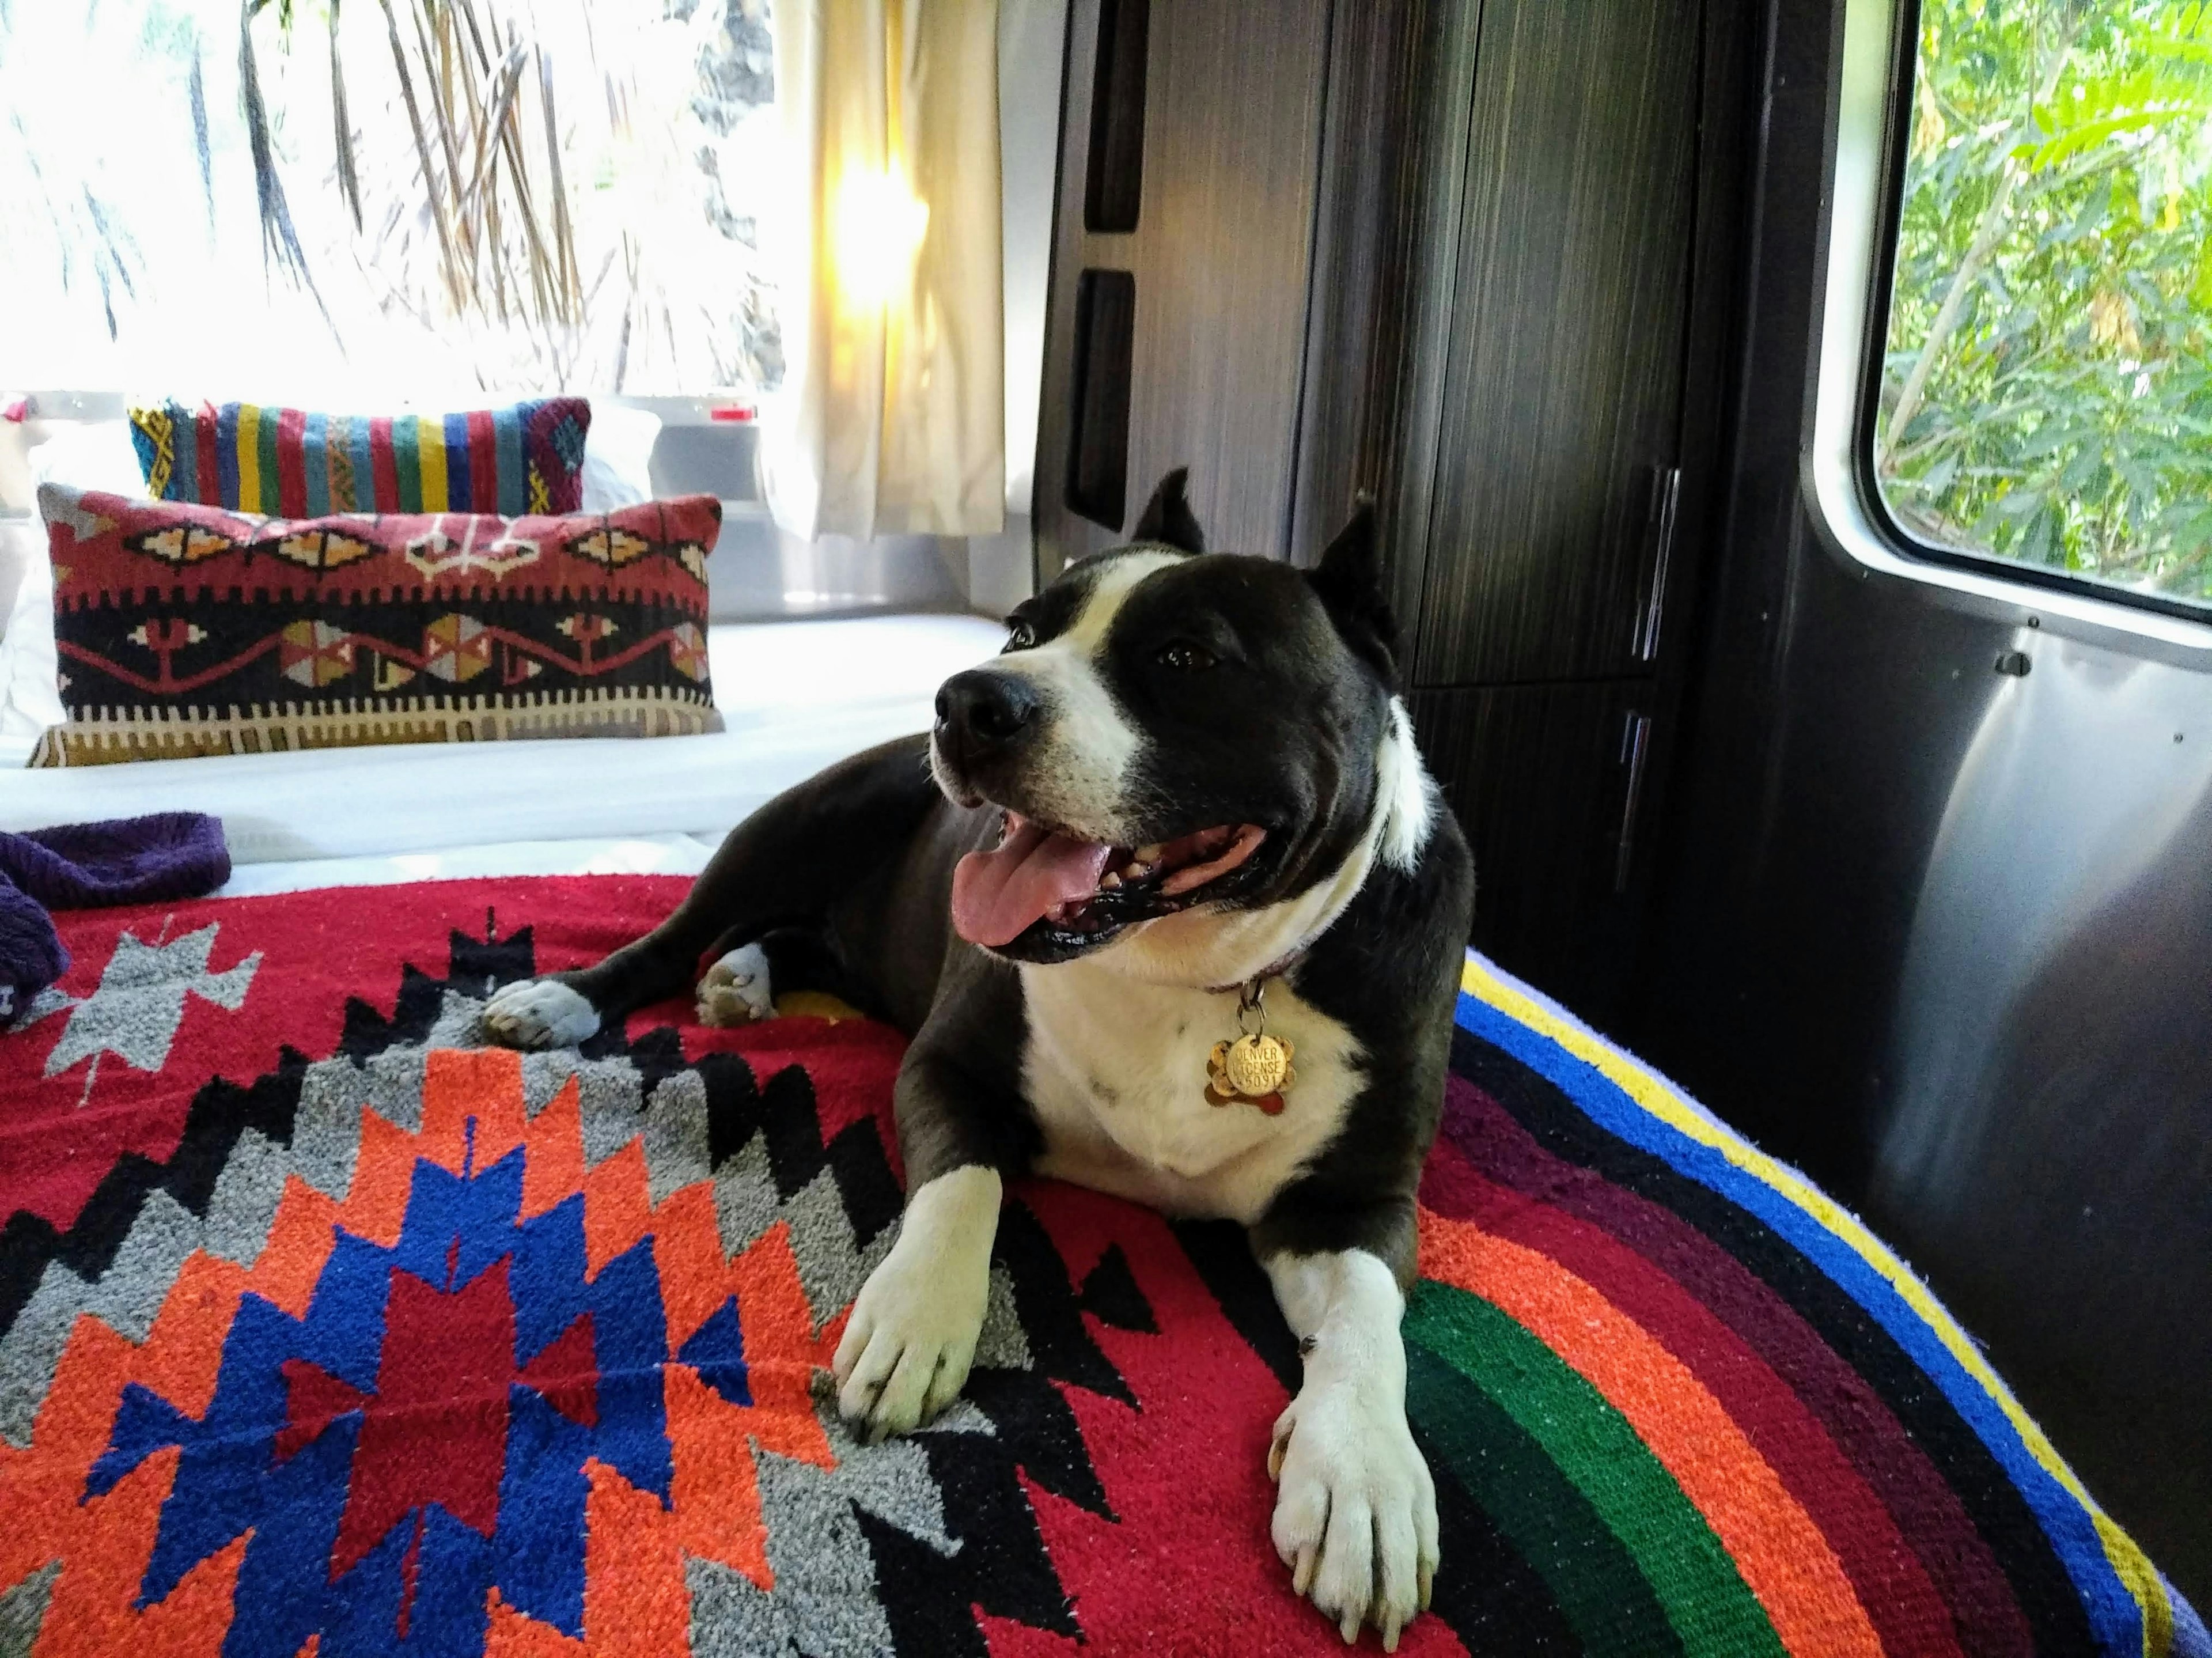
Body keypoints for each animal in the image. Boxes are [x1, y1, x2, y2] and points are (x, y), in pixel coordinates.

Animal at [493, 469, 1478, 1646]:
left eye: (1188, 658)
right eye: (1023, 629)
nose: (969, 698)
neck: (1201, 978)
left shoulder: (1353, 1202)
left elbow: (1372, 1321)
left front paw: (1365, 1472)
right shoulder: (947, 1068)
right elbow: (966, 1186)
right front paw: (916, 1320)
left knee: (794, 938)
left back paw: (745, 976)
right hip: (803, 821)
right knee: (674, 936)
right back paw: (569, 995)